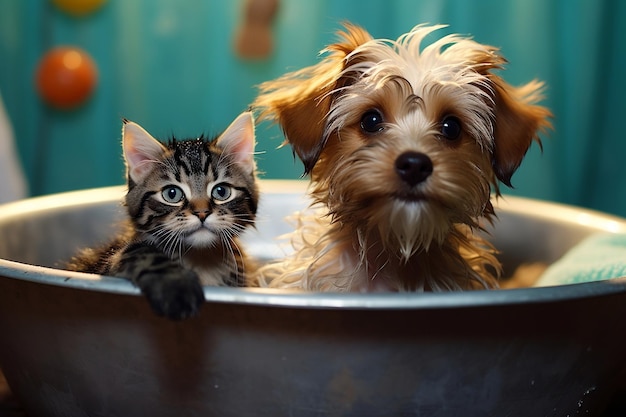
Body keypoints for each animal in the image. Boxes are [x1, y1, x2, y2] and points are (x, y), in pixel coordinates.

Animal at [69, 110, 260, 318]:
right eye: (172, 194)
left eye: (221, 191)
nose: (202, 213)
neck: (202, 260)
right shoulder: (106, 267)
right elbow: (142, 252)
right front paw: (178, 288)